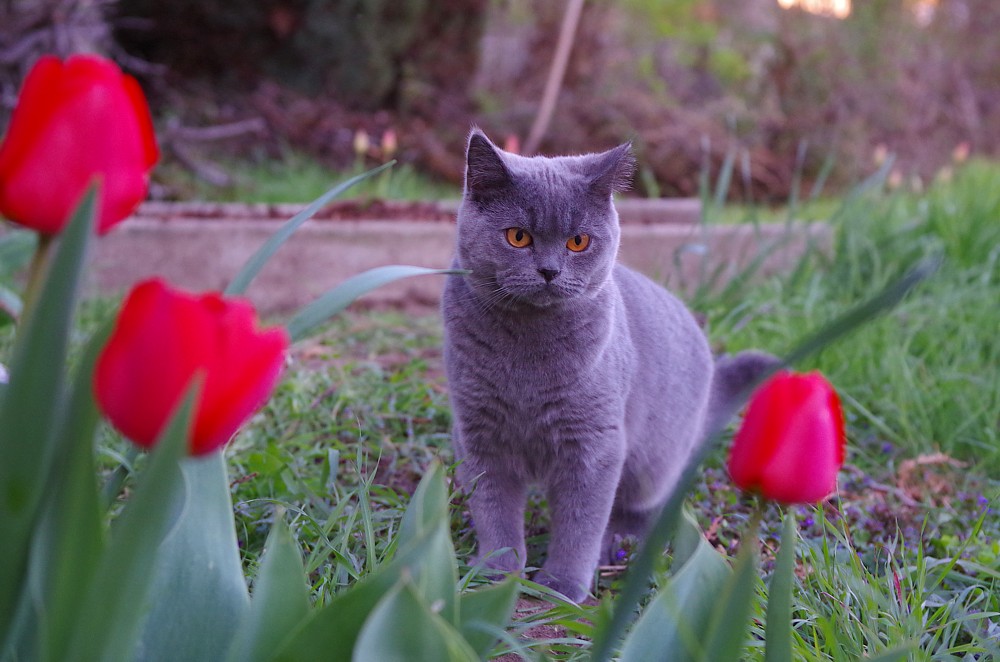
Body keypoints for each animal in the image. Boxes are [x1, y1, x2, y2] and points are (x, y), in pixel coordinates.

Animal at [442, 131, 776, 608]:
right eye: (518, 237)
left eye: (578, 242)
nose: (549, 270)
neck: (526, 356)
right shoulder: (478, 434)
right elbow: (493, 510)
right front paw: (497, 572)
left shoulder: (594, 442)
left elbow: (581, 523)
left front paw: (562, 586)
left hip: (653, 459)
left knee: (647, 506)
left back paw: (618, 542)